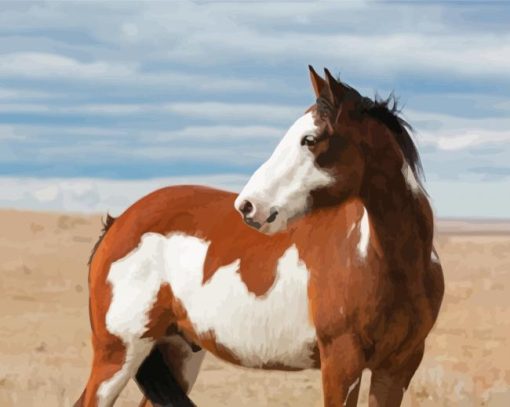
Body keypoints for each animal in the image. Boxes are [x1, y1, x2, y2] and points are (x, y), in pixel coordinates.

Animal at [73, 65, 444, 406]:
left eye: (310, 139)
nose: (248, 206)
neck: (383, 261)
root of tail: (119, 222)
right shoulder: (341, 363)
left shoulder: (397, 367)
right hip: (118, 353)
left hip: (178, 349)